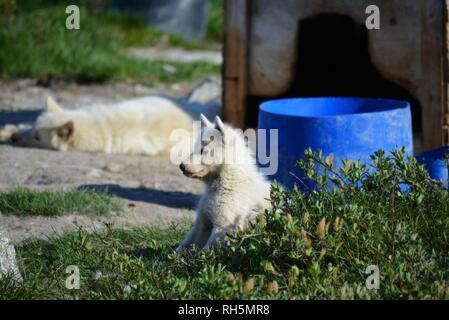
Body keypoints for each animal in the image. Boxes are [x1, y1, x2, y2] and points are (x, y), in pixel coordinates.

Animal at [3, 95, 192, 156]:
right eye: (34, 130)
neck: (100, 123)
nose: (13, 138)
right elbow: (21, 124)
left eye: (36, 137)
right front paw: (8, 130)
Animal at [177, 114, 272, 251]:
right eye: (194, 148)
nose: (181, 166)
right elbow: (189, 240)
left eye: (202, 150)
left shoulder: (225, 224)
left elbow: (208, 248)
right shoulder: (204, 219)